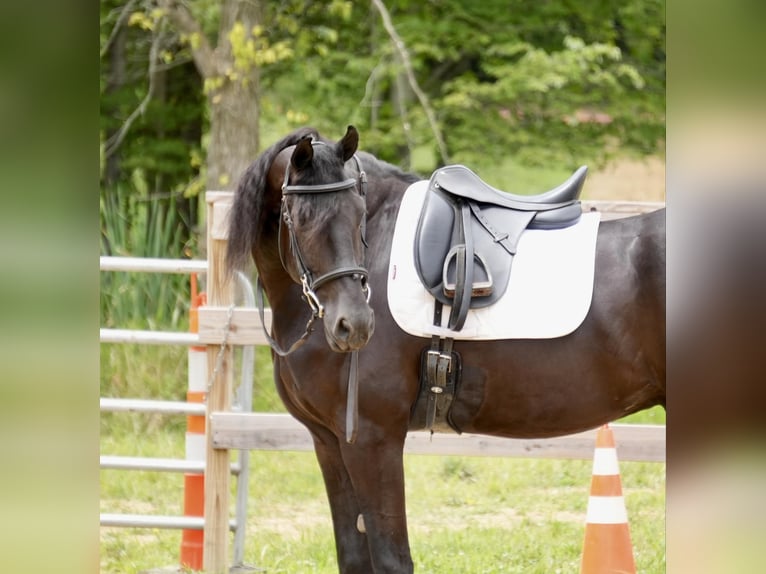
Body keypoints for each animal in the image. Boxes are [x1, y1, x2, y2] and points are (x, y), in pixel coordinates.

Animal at [224, 127, 664, 574]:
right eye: (299, 218)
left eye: (359, 214)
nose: (354, 324)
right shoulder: (328, 442)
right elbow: (352, 555)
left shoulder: (372, 439)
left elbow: (391, 559)